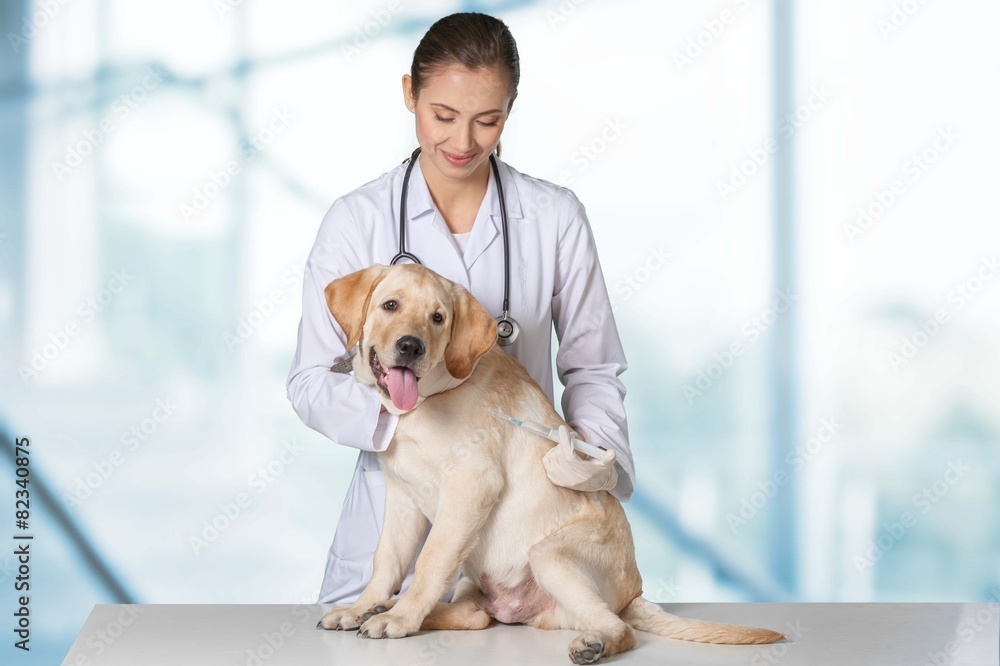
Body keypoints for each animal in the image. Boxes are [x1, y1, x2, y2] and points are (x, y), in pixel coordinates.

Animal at [316, 264, 784, 660]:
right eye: (390, 305)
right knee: (475, 615)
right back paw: (377, 610)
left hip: (548, 554)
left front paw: (399, 617)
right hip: (478, 581)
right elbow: (387, 560)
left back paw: (594, 644)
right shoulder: (403, 496)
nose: (410, 347)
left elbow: (430, 560)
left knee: (621, 630)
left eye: (437, 318)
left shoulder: (472, 486)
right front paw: (363, 606)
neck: (431, 398)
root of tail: (633, 596)